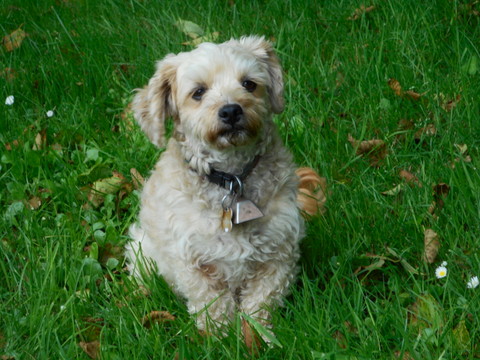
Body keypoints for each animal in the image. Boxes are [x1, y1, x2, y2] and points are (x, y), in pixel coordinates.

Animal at [125, 35, 306, 334]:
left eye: (249, 84)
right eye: (198, 92)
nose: (231, 110)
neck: (231, 180)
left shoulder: (279, 252)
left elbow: (261, 302)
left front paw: (257, 334)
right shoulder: (193, 262)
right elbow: (212, 305)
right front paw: (220, 336)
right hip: (143, 252)